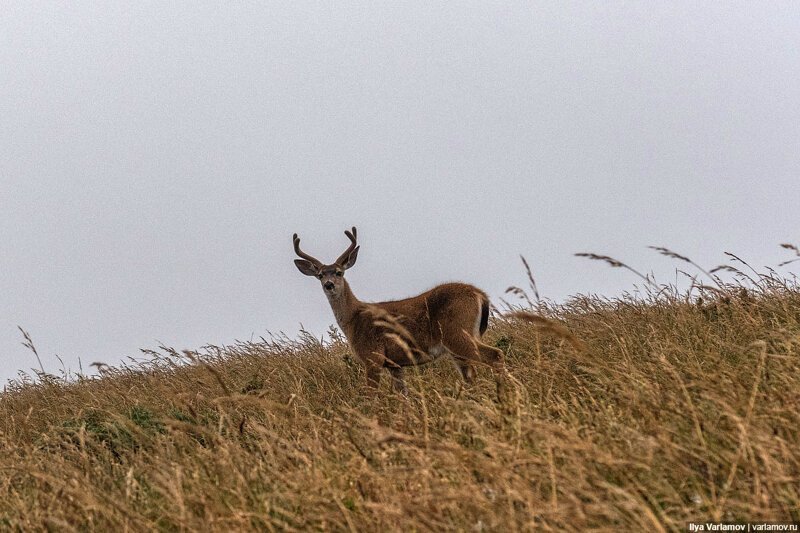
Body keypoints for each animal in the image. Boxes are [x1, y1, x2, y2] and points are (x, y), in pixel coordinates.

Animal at [294, 224, 506, 390]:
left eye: (339, 272)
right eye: (320, 275)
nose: (329, 285)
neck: (353, 318)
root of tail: (480, 295)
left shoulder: (373, 357)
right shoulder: (396, 365)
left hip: (456, 333)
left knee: (495, 355)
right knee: (471, 375)